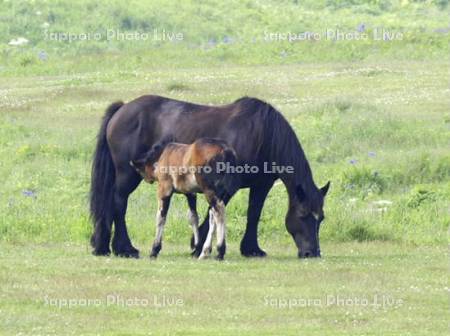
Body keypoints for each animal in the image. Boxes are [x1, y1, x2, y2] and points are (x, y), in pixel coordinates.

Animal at [90, 96, 330, 258]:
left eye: (321, 218)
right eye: (303, 215)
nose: (312, 253)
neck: (263, 134)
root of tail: (122, 108)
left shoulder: (261, 185)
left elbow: (253, 214)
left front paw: (251, 249)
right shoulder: (227, 185)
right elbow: (213, 213)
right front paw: (198, 247)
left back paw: (104, 246)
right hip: (127, 175)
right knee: (119, 204)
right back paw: (124, 248)